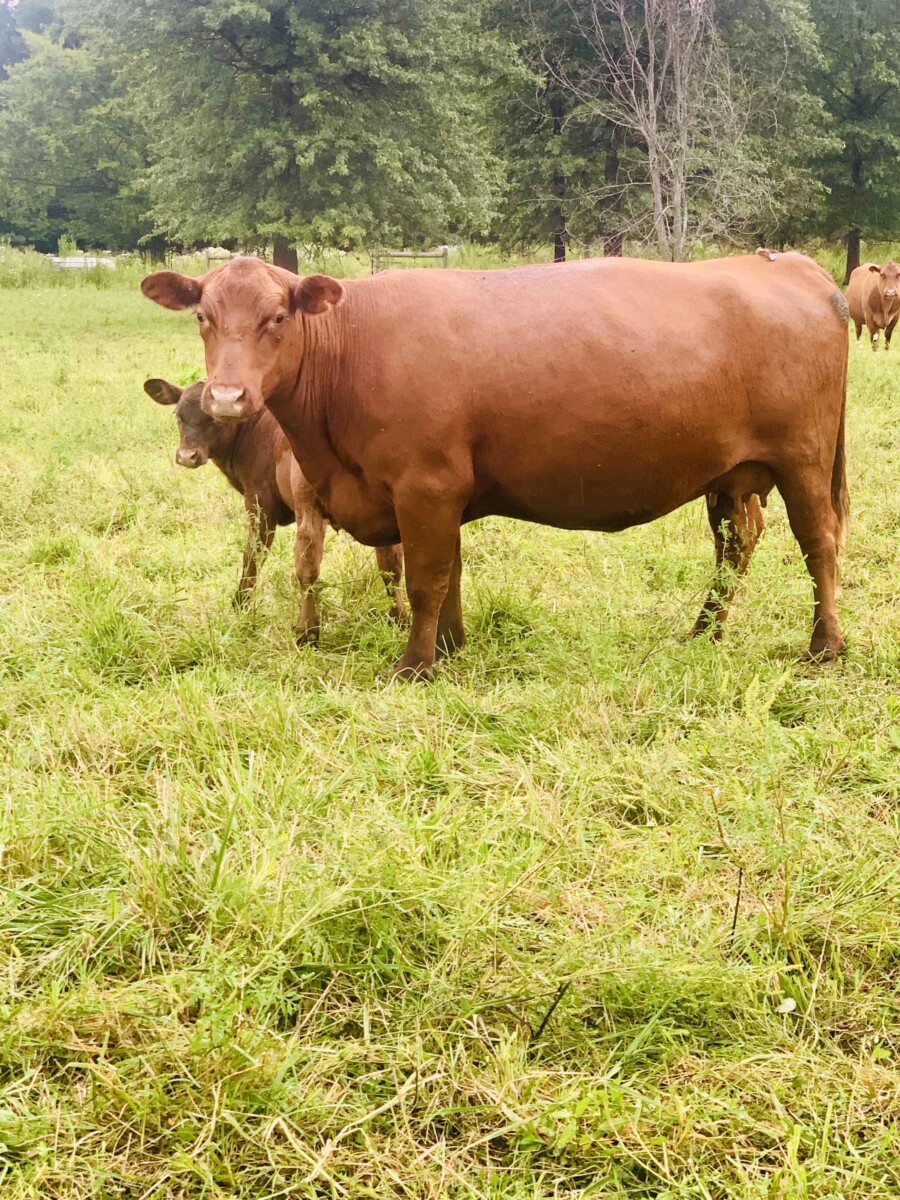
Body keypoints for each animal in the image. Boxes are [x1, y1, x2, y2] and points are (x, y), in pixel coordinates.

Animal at [143, 377, 406, 643]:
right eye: (178, 415)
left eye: (215, 417)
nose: (187, 456)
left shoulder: (260, 503)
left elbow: (252, 555)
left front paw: (240, 604)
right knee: (390, 564)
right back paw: (398, 619)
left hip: (307, 502)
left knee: (308, 564)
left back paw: (307, 631)